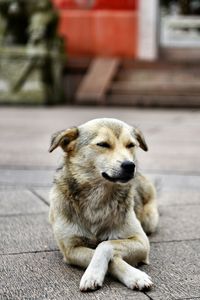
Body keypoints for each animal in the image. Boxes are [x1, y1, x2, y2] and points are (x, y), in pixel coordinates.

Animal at [48, 118, 158, 292]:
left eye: (130, 145)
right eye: (103, 144)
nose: (130, 165)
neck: (98, 197)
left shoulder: (141, 242)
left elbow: (105, 245)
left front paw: (135, 276)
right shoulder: (70, 249)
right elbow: (104, 256)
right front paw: (94, 274)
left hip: (149, 220)